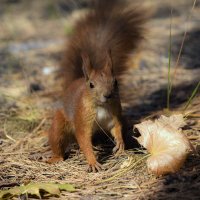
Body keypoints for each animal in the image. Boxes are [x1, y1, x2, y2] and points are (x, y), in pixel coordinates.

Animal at [47, 0, 146, 172]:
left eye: (115, 82)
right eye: (91, 85)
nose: (108, 95)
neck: (101, 106)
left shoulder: (114, 115)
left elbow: (117, 128)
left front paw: (120, 143)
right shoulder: (82, 119)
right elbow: (84, 140)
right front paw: (93, 162)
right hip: (59, 124)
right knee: (58, 139)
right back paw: (56, 158)